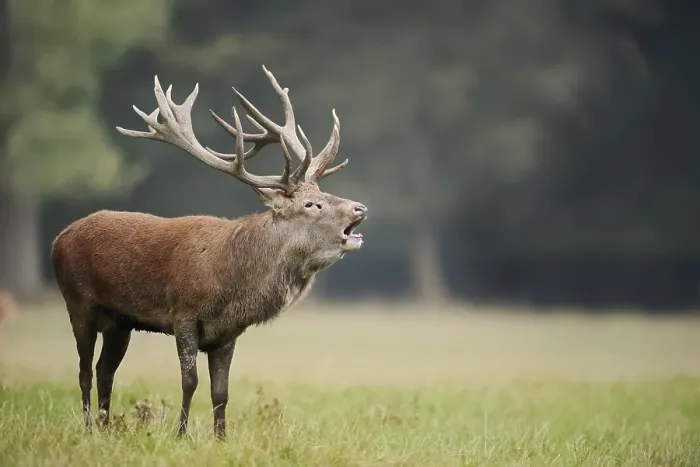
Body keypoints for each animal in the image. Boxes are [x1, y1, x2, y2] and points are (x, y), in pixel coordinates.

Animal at [50, 66, 367, 440]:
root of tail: (58, 239)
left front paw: (221, 437)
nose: (360, 208)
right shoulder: (183, 313)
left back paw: (105, 426)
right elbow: (190, 381)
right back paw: (88, 428)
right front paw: (181, 434)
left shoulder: (227, 333)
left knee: (104, 370)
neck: (231, 284)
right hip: (78, 301)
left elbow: (221, 391)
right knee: (84, 369)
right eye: (311, 204)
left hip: (120, 322)